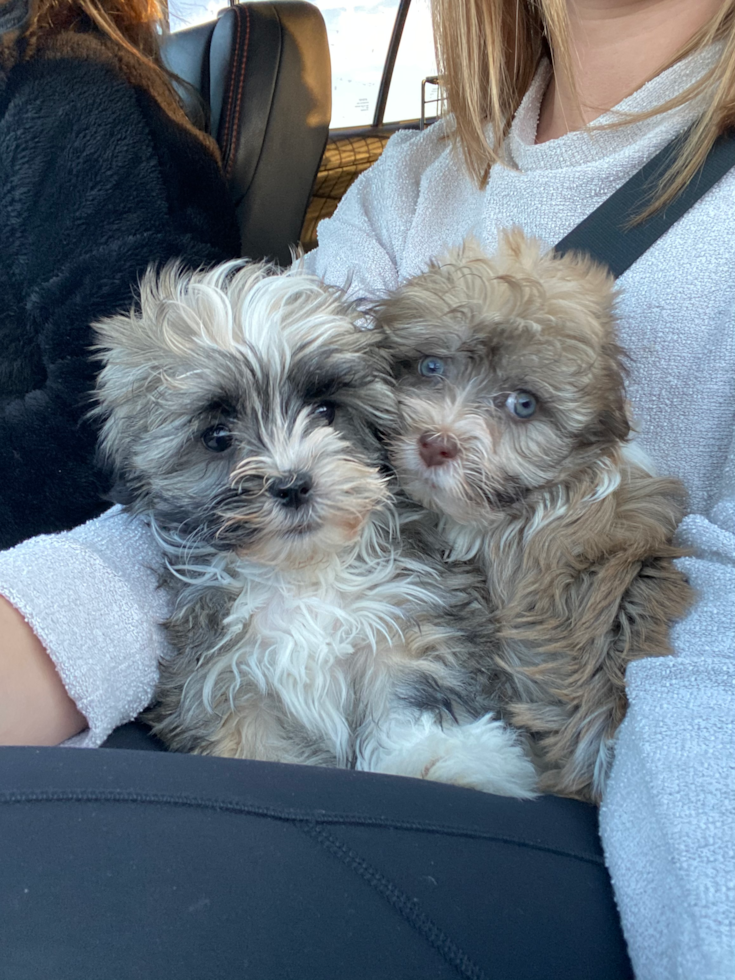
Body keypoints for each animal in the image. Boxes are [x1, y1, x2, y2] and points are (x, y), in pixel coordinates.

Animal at [93, 258, 536, 796]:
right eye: (217, 437)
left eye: (325, 411)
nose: (293, 485)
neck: (302, 576)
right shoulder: (225, 678)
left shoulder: (402, 624)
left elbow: (410, 695)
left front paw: (436, 758)